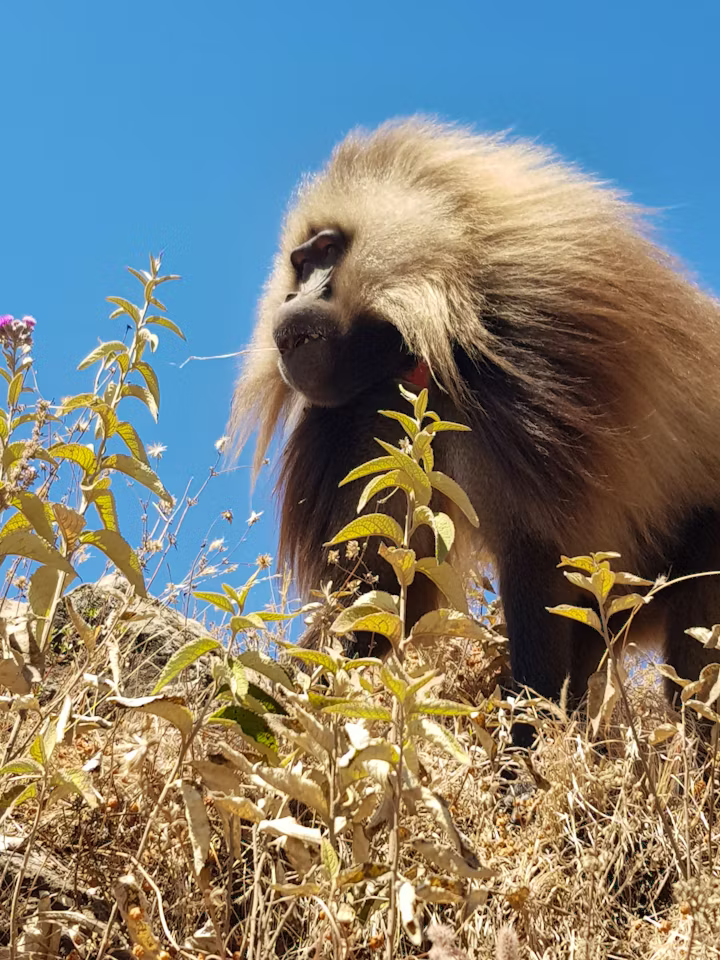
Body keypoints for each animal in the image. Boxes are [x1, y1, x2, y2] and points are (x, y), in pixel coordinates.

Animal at [229, 118, 720, 744]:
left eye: (328, 253)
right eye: (298, 261)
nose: (292, 298)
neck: (413, 355)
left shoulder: (528, 357)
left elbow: (537, 555)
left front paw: (522, 746)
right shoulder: (370, 421)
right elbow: (378, 583)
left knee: (692, 672)